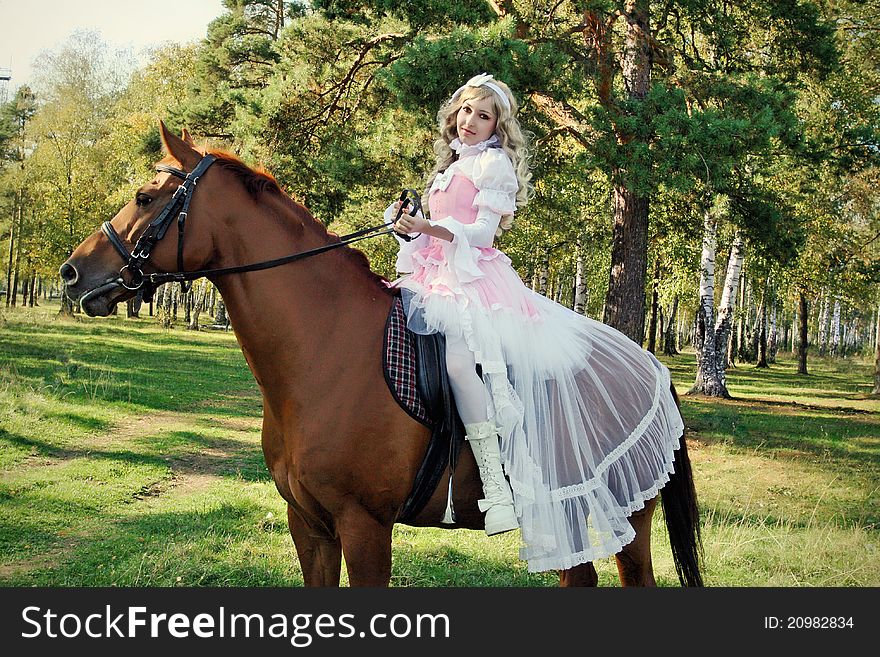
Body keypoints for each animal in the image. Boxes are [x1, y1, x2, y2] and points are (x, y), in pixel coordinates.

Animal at [60, 125, 700, 588]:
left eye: (145, 198)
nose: (71, 274)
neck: (325, 347)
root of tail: (651, 365)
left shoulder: (364, 527)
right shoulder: (310, 527)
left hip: (626, 518)